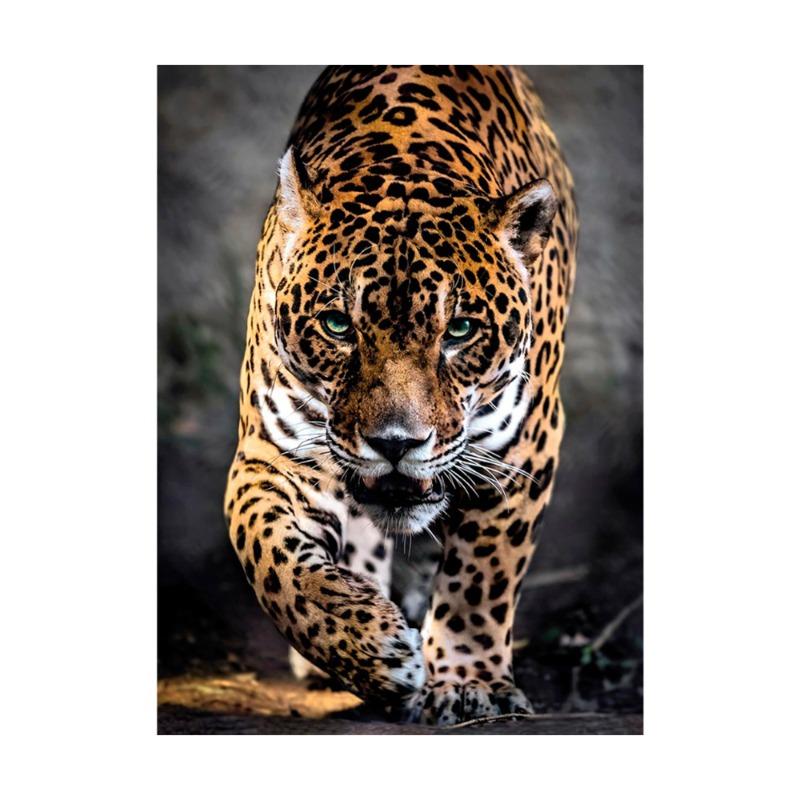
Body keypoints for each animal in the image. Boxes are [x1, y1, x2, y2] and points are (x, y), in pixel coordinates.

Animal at [224, 65, 578, 725]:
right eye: (338, 325)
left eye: (459, 330)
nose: (395, 443)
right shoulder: (272, 452)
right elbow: (270, 557)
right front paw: (369, 648)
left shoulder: (523, 448)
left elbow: (481, 576)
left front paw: (468, 683)